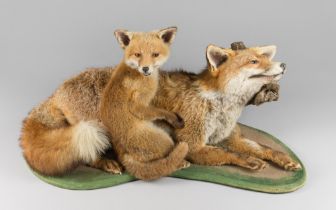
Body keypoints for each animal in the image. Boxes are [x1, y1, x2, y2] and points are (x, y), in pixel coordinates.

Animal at [99, 27, 189, 180]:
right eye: (137, 55)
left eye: (155, 54)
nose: (145, 68)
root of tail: (122, 154)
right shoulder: (138, 105)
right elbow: (159, 112)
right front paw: (172, 118)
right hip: (166, 139)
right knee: (166, 160)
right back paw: (181, 163)